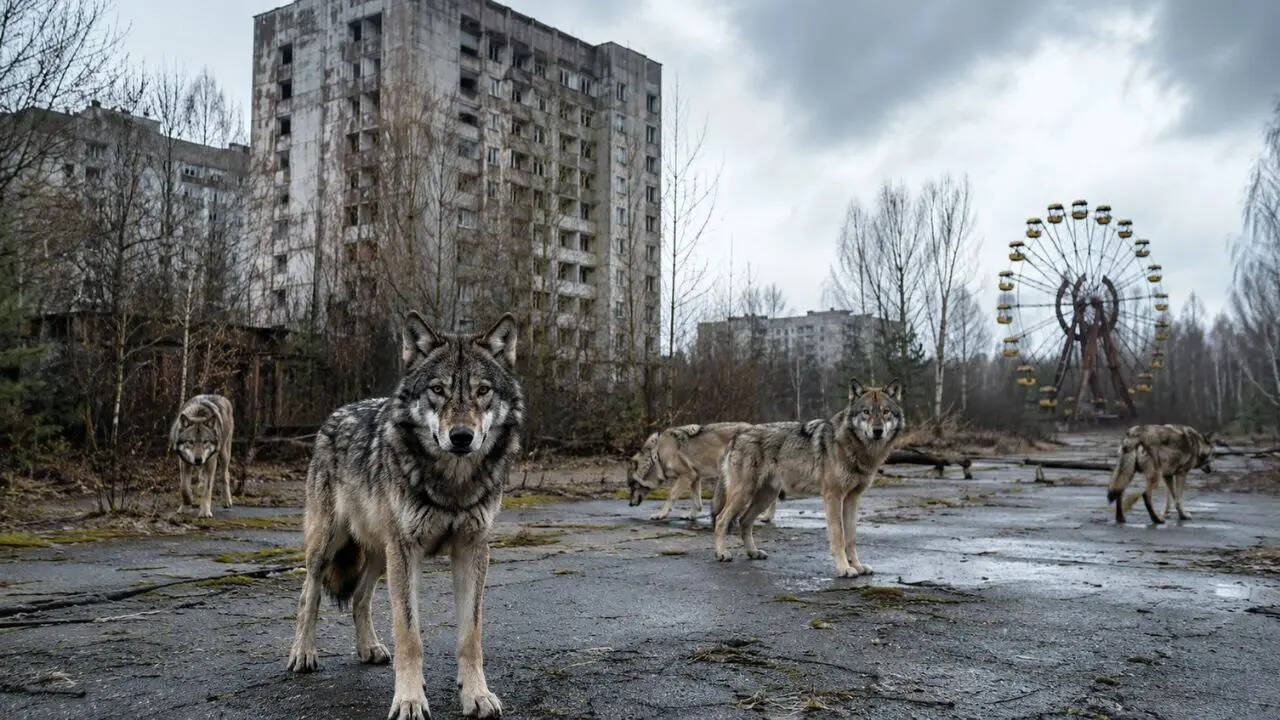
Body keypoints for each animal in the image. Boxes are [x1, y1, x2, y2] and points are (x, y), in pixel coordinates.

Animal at [286, 312, 521, 720]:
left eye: (482, 391)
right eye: (438, 390)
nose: (462, 436)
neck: (452, 483)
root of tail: (335, 414)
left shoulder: (472, 550)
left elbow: (471, 635)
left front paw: (476, 695)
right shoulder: (406, 551)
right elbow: (409, 635)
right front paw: (410, 700)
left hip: (381, 554)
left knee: (360, 598)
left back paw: (369, 648)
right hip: (330, 544)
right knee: (309, 593)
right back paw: (303, 652)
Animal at [627, 422, 772, 521]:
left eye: (632, 486)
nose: (629, 504)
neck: (657, 455)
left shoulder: (687, 476)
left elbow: (672, 495)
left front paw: (661, 514)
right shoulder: (695, 477)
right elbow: (696, 500)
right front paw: (691, 516)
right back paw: (766, 517)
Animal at [712, 379, 903, 577]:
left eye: (885, 411)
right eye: (866, 412)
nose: (878, 431)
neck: (855, 448)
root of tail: (737, 436)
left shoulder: (852, 499)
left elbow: (851, 538)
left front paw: (857, 565)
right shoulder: (833, 497)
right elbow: (839, 536)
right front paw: (844, 568)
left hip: (766, 497)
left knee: (744, 521)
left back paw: (753, 552)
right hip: (744, 494)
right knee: (721, 519)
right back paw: (722, 553)